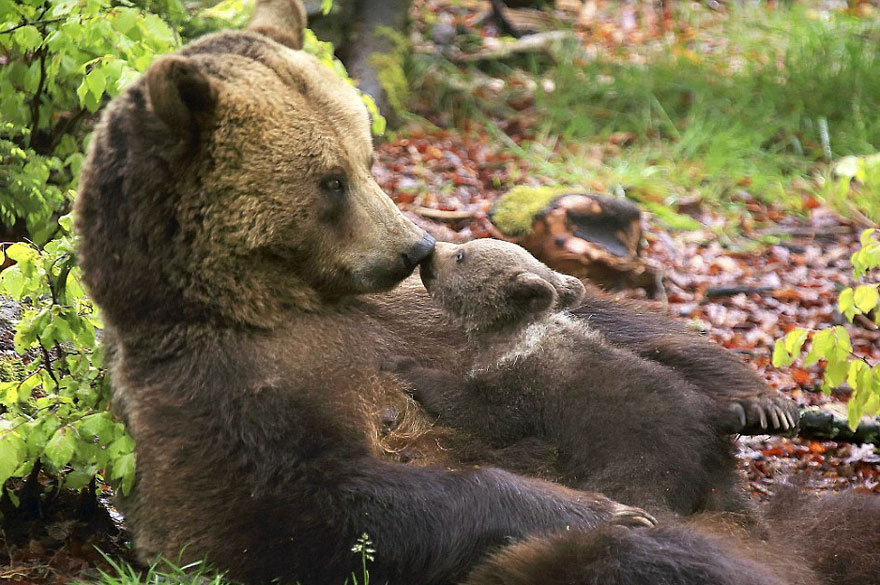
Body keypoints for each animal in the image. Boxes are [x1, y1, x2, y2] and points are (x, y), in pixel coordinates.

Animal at [77, 0, 796, 580]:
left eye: (366, 157)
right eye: (330, 180)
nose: (415, 246)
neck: (280, 299)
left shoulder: (405, 310)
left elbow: (603, 318)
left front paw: (754, 396)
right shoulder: (225, 394)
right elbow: (312, 506)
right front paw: (602, 508)